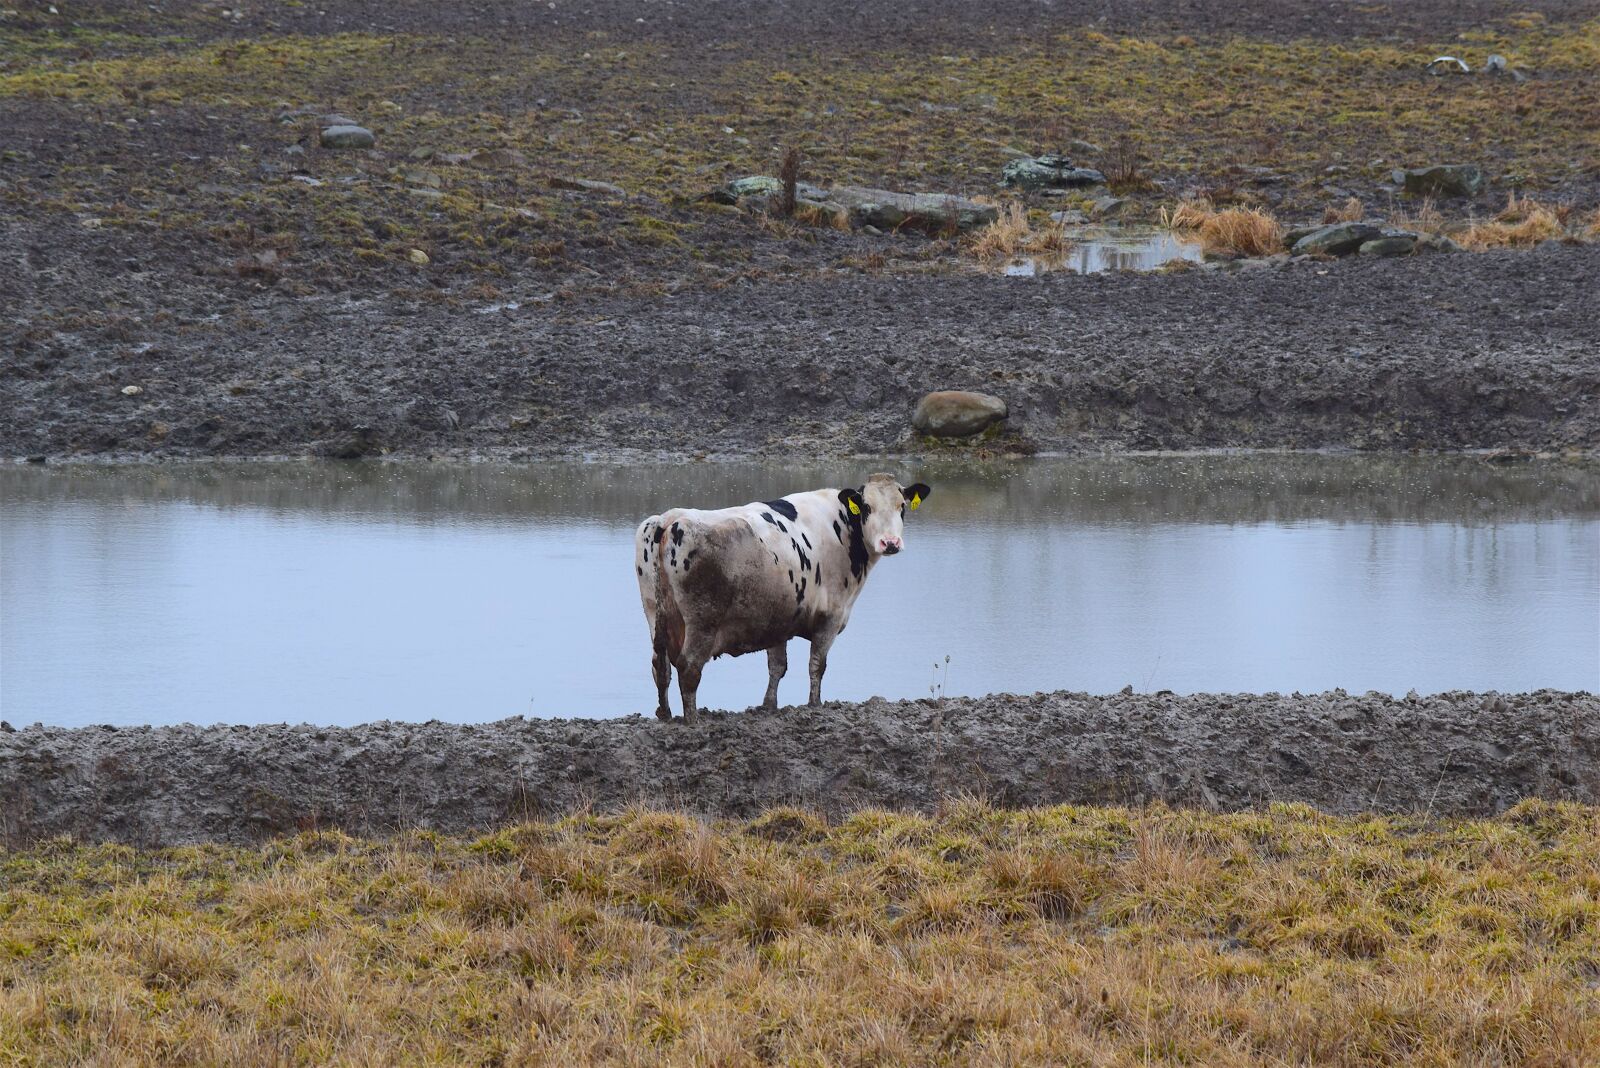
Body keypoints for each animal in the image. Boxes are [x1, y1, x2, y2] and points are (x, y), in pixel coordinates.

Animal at [634, 473, 932, 722]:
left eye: (902, 507)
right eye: (867, 507)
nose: (890, 543)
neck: (843, 527)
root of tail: (668, 519)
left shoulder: (777, 620)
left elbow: (777, 667)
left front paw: (769, 705)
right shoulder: (830, 617)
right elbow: (817, 665)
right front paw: (814, 705)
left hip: (654, 613)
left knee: (660, 666)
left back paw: (665, 715)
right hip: (702, 622)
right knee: (689, 669)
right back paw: (692, 720)